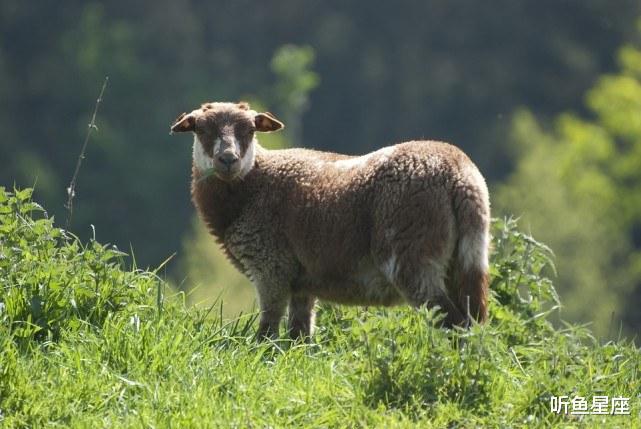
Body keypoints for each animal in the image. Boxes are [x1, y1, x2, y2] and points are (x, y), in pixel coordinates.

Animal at [170, 100, 490, 338]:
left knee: (454, 323)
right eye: (201, 128)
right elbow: (299, 334)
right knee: (473, 322)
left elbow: (268, 329)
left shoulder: (271, 266)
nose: (228, 159)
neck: (253, 183)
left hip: (412, 255)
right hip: (465, 259)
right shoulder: (302, 281)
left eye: (249, 129)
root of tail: (460, 176)